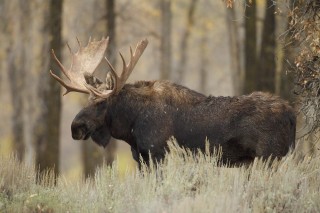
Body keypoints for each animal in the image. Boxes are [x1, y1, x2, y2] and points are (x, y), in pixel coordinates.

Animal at [48, 37, 296, 166]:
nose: (75, 127)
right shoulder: (141, 156)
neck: (130, 125)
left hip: (269, 157)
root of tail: (292, 114)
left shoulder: (158, 153)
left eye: (101, 103)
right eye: (87, 98)